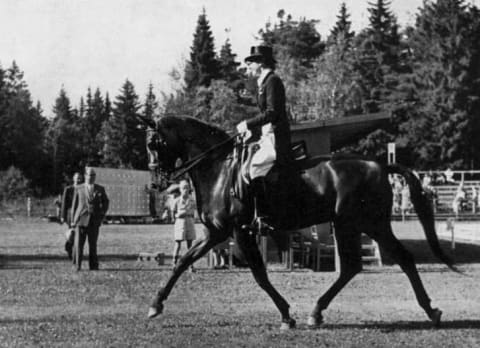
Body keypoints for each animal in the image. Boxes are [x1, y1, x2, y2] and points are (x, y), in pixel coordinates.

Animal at [137, 114, 456, 328]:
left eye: (154, 143)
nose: (155, 183)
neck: (218, 170)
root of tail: (379, 165)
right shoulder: (217, 232)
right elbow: (182, 261)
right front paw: (155, 305)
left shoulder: (239, 231)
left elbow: (260, 275)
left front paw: (286, 315)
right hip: (351, 226)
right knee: (355, 266)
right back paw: (318, 312)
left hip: (367, 224)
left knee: (399, 259)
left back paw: (430, 311)